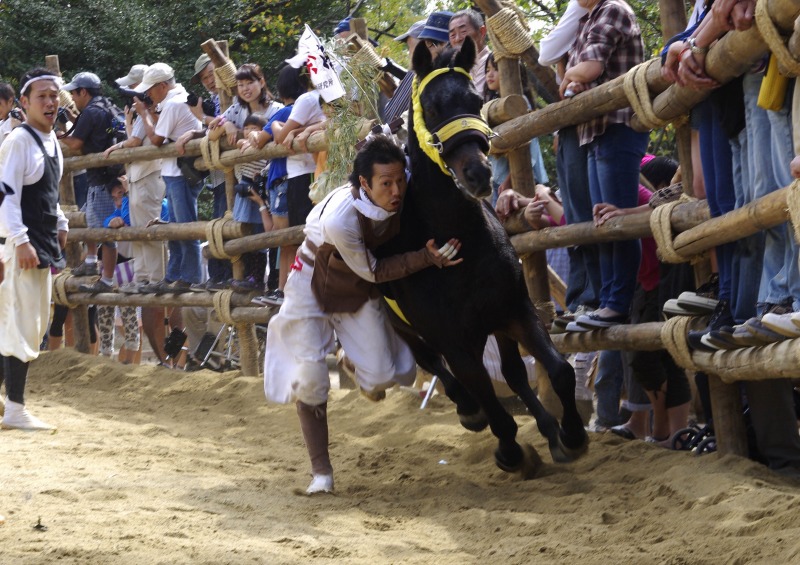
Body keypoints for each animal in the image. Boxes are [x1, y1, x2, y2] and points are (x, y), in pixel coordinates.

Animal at [376, 37, 588, 476]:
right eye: (432, 108)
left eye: (475, 101)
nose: (477, 173)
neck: (458, 240)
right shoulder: (456, 342)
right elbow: (494, 406)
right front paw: (510, 452)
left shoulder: (514, 309)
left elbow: (558, 371)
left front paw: (572, 435)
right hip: (407, 327)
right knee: (432, 363)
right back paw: (470, 410)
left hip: (494, 324)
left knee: (513, 372)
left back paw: (549, 431)